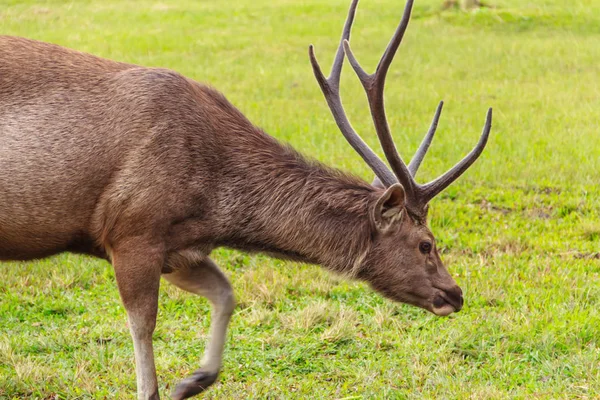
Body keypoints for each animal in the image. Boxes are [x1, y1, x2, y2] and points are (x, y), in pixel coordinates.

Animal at [0, 0, 490, 396]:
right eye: (426, 243)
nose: (455, 293)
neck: (216, 204)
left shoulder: (180, 248)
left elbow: (227, 293)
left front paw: (194, 381)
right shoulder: (132, 231)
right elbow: (144, 335)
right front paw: (168, 384)